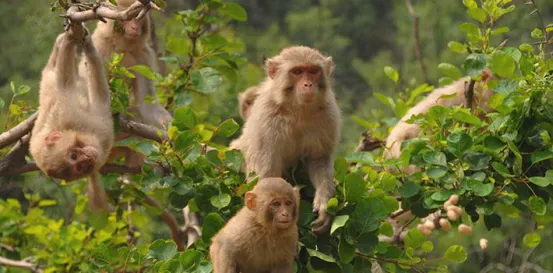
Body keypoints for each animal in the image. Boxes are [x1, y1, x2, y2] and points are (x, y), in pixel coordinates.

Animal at [30, 28, 113, 210]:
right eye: (80, 166)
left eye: (74, 156)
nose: (88, 158)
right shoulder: (100, 136)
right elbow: (101, 98)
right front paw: (88, 49)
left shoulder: (69, 112)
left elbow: (65, 81)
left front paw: (73, 40)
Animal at [229, 46, 340, 234]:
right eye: (297, 71)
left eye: (313, 71)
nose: (308, 84)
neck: (298, 109)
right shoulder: (267, 116)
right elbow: (266, 175)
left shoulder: (328, 114)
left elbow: (318, 158)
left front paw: (324, 202)